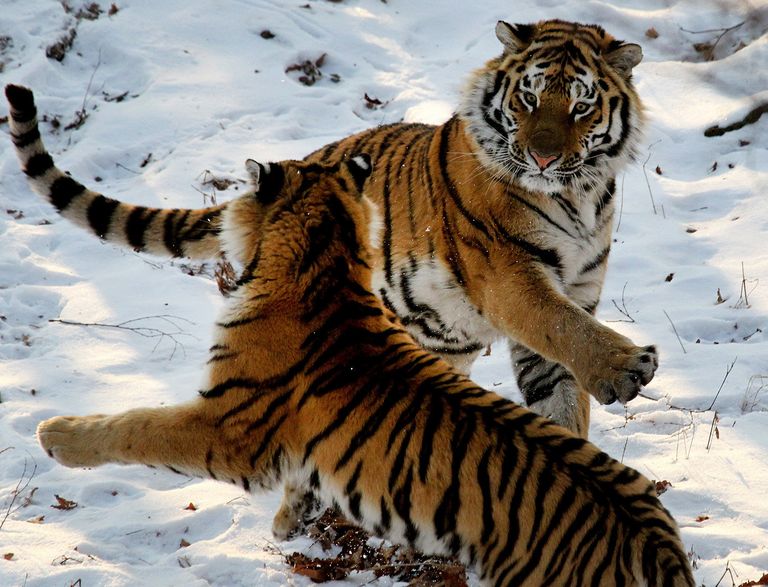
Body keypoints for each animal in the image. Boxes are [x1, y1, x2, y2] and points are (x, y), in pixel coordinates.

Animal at [7, 83, 694, 587]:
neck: (325, 260)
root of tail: (655, 549)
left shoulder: (230, 424)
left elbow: (138, 426)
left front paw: (57, 436)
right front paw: (292, 522)